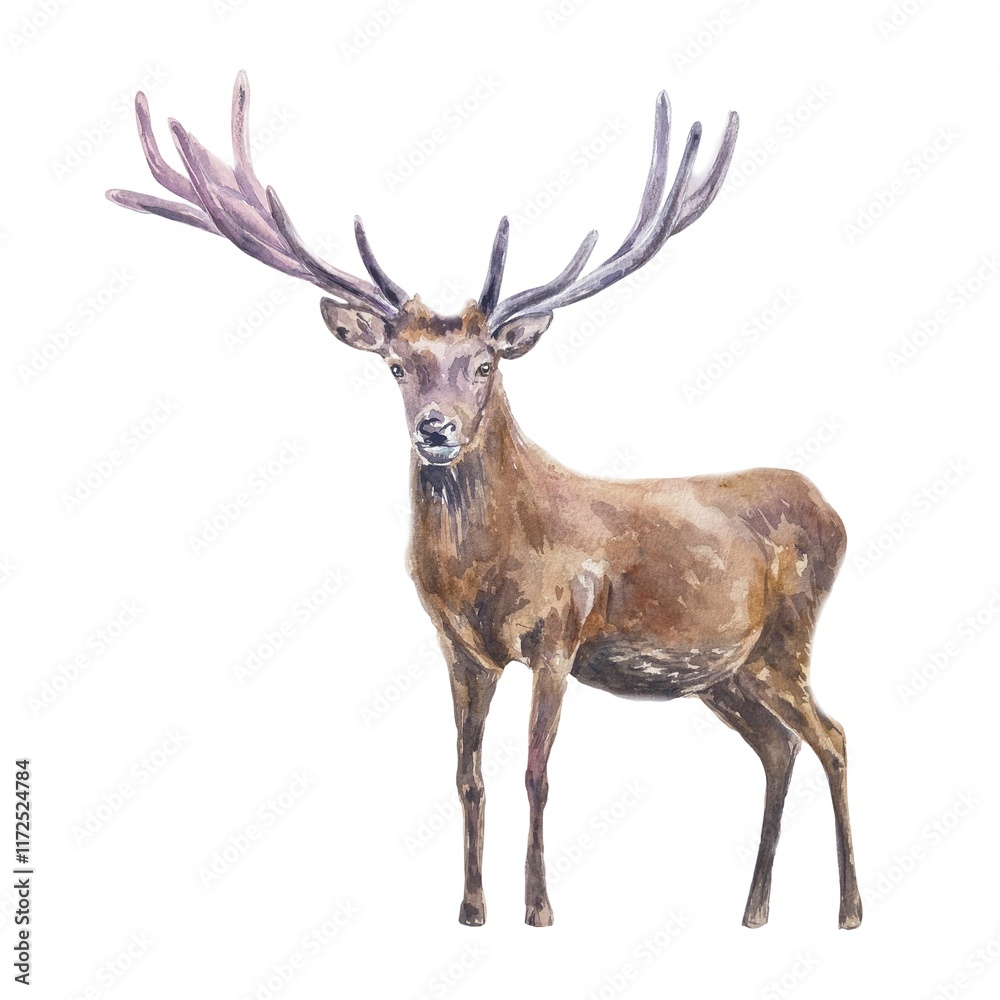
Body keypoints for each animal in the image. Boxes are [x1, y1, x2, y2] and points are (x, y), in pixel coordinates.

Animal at [107, 72, 861, 931]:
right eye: (397, 365)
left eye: (483, 365)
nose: (435, 429)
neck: (483, 570)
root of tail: (831, 508)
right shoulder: (459, 649)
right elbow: (468, 776)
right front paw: (470, 907)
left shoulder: (559, 634)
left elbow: (537, 772)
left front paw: (538, 908)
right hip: (726, 671)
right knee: (780, 747)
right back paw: (756, 909)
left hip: (788, 634)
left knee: (834, 736)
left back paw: (848, 909)